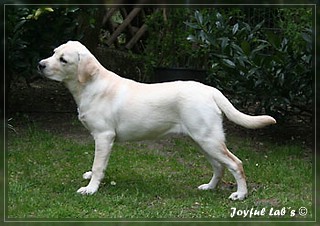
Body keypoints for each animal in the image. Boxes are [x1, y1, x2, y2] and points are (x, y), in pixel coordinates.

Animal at [39, 40, 276, 200]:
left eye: (63, 60)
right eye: (53, 53)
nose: (40, 64)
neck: (89, 85)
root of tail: (210, 90)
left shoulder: (104, 136)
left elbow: (98, 165)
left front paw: (91, 188)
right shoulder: (100, 138)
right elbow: (96, 164)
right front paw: (90, 179)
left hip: (208, 140)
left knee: (236, 164)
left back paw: (241, 194)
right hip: (203, 141)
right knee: (219, 166)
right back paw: (209, 188)